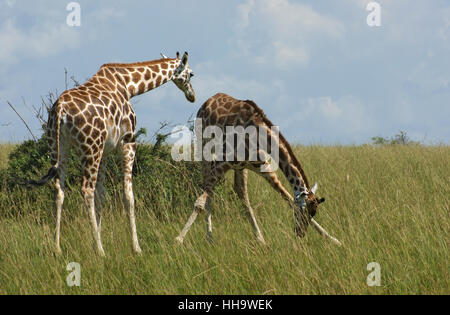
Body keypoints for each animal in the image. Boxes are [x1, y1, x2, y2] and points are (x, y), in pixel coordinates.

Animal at [27, 50, 195, 256]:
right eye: (191, 74)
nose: (192, 95)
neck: (128, 85)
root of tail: (60, 110)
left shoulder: (105, 151)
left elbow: (102, 195)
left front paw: (95, 241)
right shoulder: (128, 142)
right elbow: (128, 195)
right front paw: (135, 247)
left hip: (58, 147)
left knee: (60, 190)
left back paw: (57, 247)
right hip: (91, 147)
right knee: (86, 189)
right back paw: (101, 252)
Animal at [176, 92, 342, 246]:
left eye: (312, 213)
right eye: (302, 212)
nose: (299, 233)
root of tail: (208, 101)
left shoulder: (263, 166)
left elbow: (287, 196)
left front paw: (333, 239)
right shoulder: (224, 162)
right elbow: (200, 202)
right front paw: (178, 239)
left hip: (241, 167)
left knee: (240, 191)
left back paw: (259, 238)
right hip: (204, 148)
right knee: (208, 190)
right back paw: (210, 237)